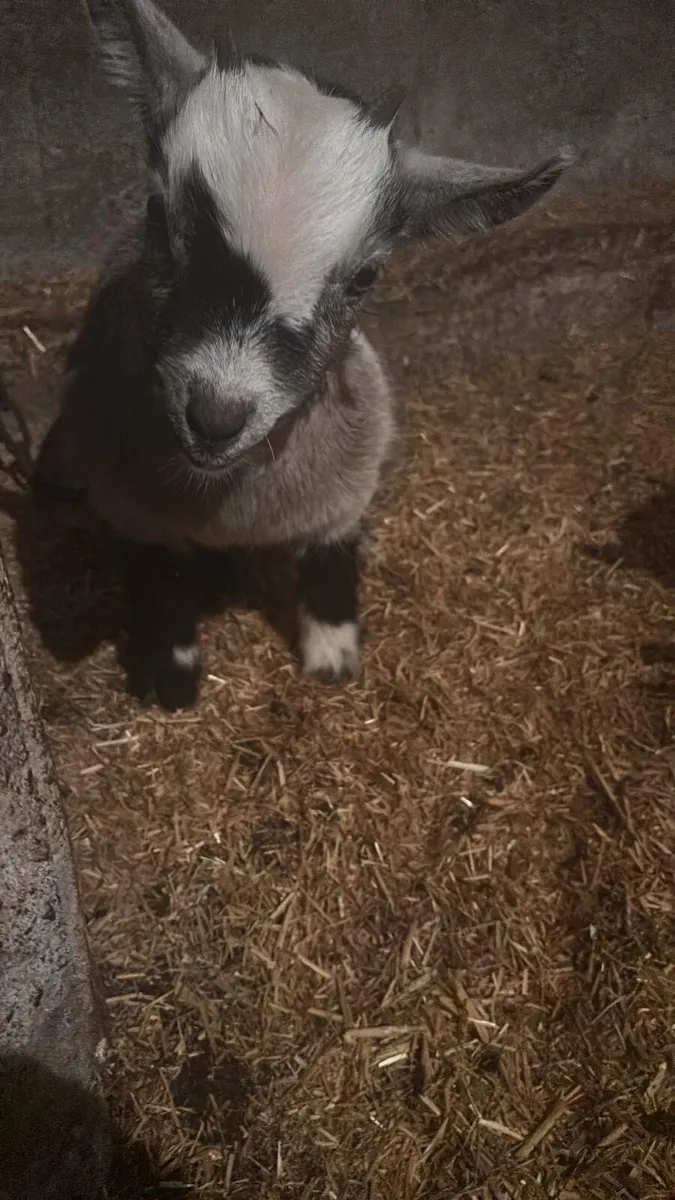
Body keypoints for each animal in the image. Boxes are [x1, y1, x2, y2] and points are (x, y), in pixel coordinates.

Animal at [35, 0, 572, 711]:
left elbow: (331, 558)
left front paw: (333, 654)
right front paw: (170, 674)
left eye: (366, 277)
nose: (215, 415)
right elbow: (159, 581)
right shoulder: (128, 505)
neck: (234, 510)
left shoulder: (347, 483)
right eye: (157, 214)